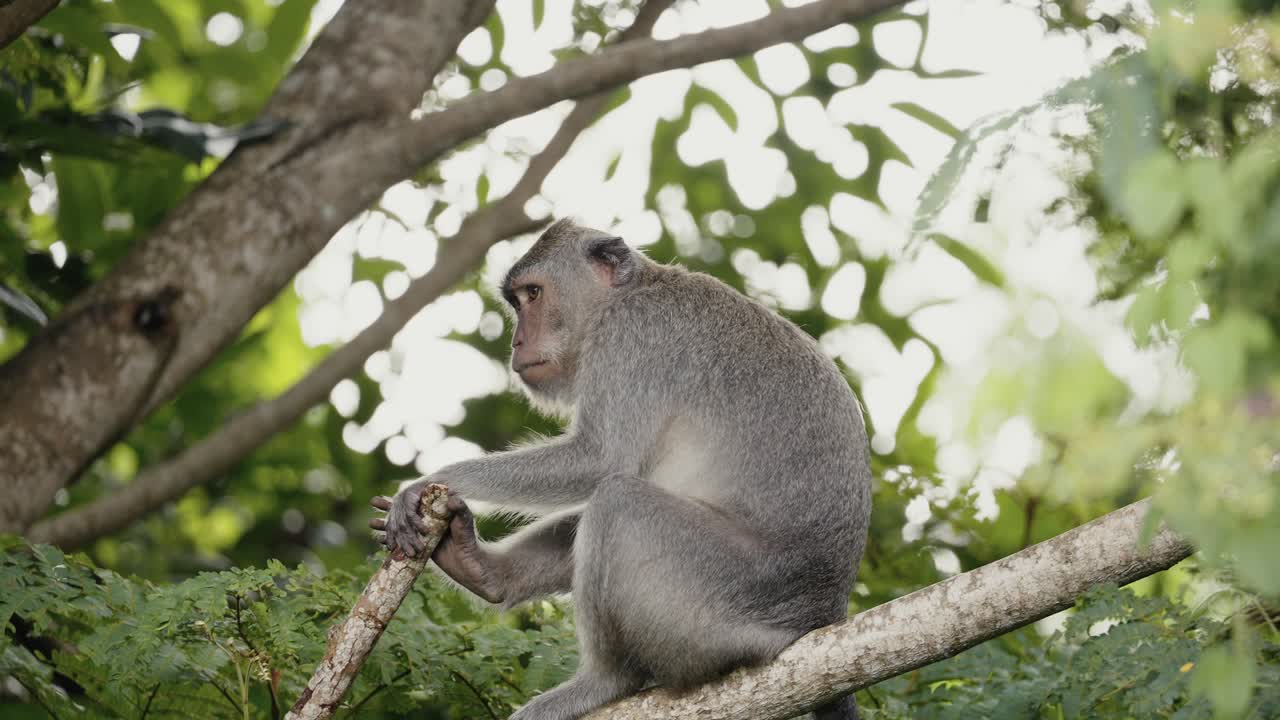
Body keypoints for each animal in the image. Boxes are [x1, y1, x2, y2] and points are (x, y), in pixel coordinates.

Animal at [370, 219, 871, 720]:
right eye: (516, 301)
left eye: (533, 294)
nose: (517, 341)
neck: (632, 291)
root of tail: (821, 614)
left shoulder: (631, 336)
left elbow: (600, 460)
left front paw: (435, 480)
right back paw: (482, 571)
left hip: (723, 599)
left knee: (618, 500)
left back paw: (604, 681)